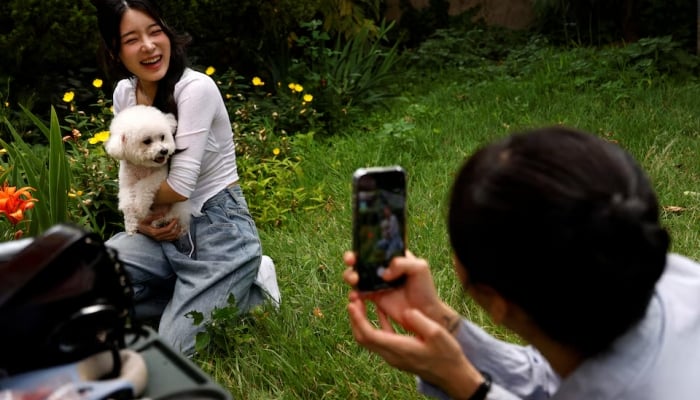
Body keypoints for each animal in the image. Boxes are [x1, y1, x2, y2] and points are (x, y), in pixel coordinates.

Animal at [105, 104, 191, 236]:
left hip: (177, 208)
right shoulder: (126, 183)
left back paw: (161, 222)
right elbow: (127, 202)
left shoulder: (159, 175)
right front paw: (130, 225)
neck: (142, 166)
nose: (164, 151)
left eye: (162, 137)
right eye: (147, 141)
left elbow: (143, 185)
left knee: (173, 216)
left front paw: (140, 207)